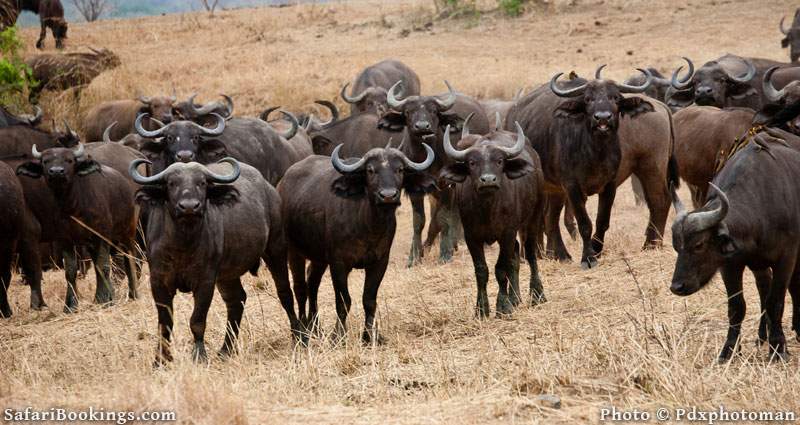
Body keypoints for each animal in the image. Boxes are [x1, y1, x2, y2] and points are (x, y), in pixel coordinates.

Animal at [131, 157, 300, 362]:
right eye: (171, 183)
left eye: (202, 183)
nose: (189, 206)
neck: (183, 244)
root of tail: (269, 189)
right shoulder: (158, 280)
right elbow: (165, 323)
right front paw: (161, 359)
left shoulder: (206, 281)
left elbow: (197, 320)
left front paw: (199, 356)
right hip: (227, 274)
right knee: (236, 300)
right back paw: (226, 349)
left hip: (276, 248)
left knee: (285, 293)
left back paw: (299, 337)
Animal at [278, 144, 434, 342]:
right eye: (370, 170)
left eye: (399, 169)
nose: (388, 196)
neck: (368, 224)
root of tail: (282, 183)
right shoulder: (338, 264)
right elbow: (343, 301)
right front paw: (338, 336)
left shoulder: (380, 262)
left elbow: (369, 299)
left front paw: (370, 336)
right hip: (294, 251)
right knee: (300, 288)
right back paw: (303, 331)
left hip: (319, 258)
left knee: (312, 283)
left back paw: (316, 328)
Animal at [440, 121, 548, 316]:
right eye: (472, 162)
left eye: (499, 161)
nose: (488, 180)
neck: (487, 209)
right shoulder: (471, 237)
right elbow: (481, 270)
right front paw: (482, 309)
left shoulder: (507, 233)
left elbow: (501, 268)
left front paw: (503, 306)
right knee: (515, 254)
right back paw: (515, 298)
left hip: (534, 217)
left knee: (530, 253)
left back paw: (537, 295)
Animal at [506, 64, 656, 266]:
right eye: (588, 99)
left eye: (615, 97)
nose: (603, 118)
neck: (595, 153)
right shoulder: (572, 186)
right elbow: (585, 223)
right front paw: (588, 257)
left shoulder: (609, 185)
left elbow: (602, 221)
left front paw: (597, 250)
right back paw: (529, 256)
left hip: (555, 190)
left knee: (550, 218)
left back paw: (562, 255)